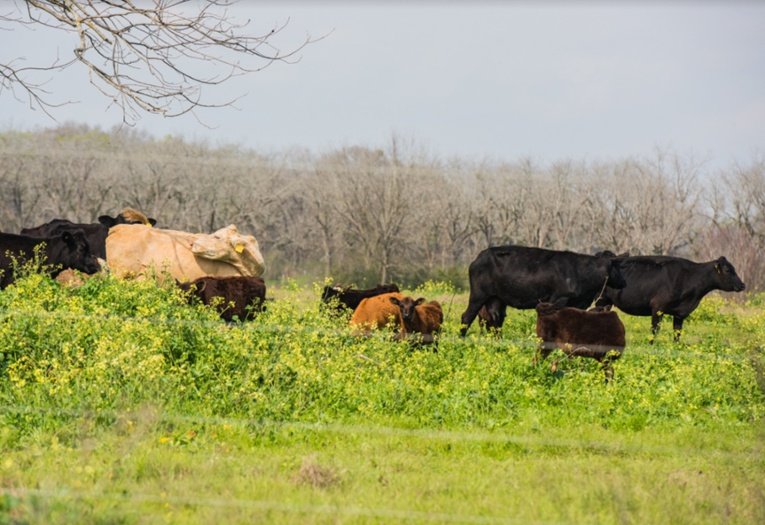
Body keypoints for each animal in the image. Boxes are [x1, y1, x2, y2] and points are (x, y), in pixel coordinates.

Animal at [460, 246, 628, 336]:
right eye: (617, 266)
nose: (624, 282)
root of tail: (479, 257)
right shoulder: (558, 299)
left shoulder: (577, 303)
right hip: (478, 295)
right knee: (467, 317)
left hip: (496, 299)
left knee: (495, 321)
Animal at [592, 255, 744, 344]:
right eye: (727, 270)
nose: (742, 285)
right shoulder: (657, 308)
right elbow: (654, 330)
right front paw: (651, 345)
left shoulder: (680, 313)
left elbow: (677, 332)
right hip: (600, 299)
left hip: (607, 302)